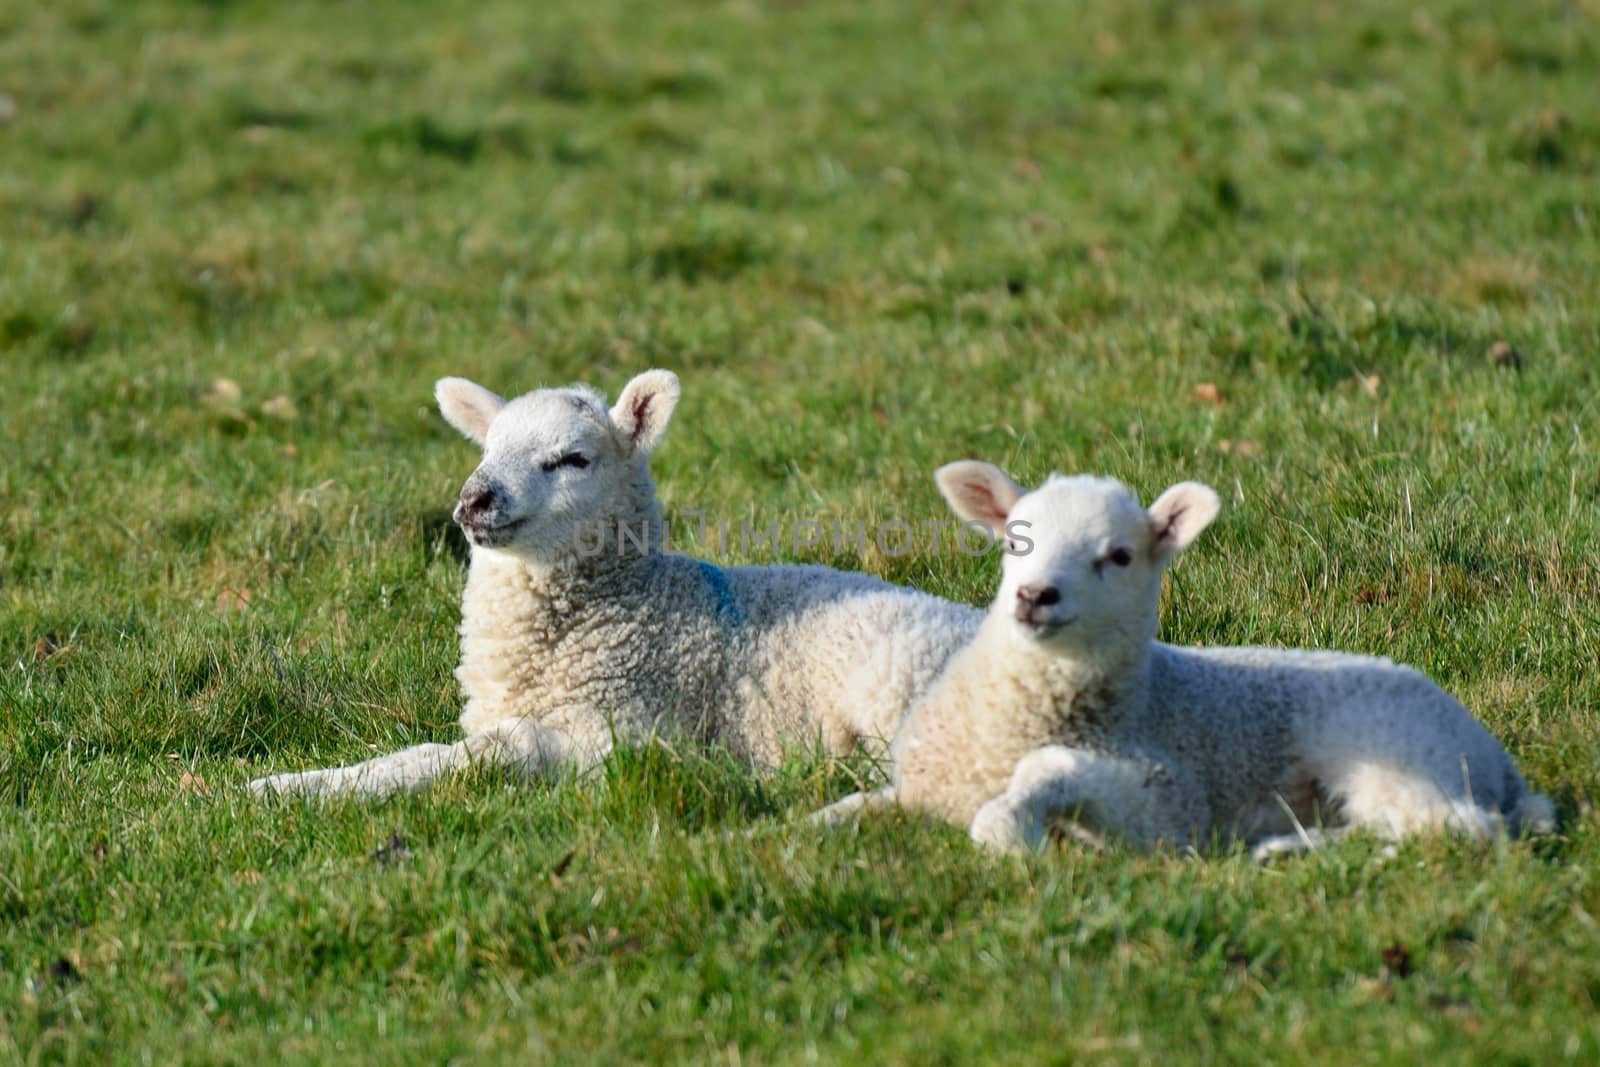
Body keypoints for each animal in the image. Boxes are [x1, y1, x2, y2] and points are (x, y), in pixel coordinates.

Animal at [251, 371, 979, 796]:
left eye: (573, 458)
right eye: (486, 447)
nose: (475, 499)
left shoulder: (623, 737)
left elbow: (476, 753)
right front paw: (289, 784)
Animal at [819, 460, 1555, 857]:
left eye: (1118, 556)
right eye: (1013, 540)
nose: (1034, 596)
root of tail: (1497, 757)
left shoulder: (1167, 799)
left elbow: (1042, 777)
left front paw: (1010, 831)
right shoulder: (921, 786)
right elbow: (860, 804)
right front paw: (809, 828)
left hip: (1396, 749)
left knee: (1457, 829)